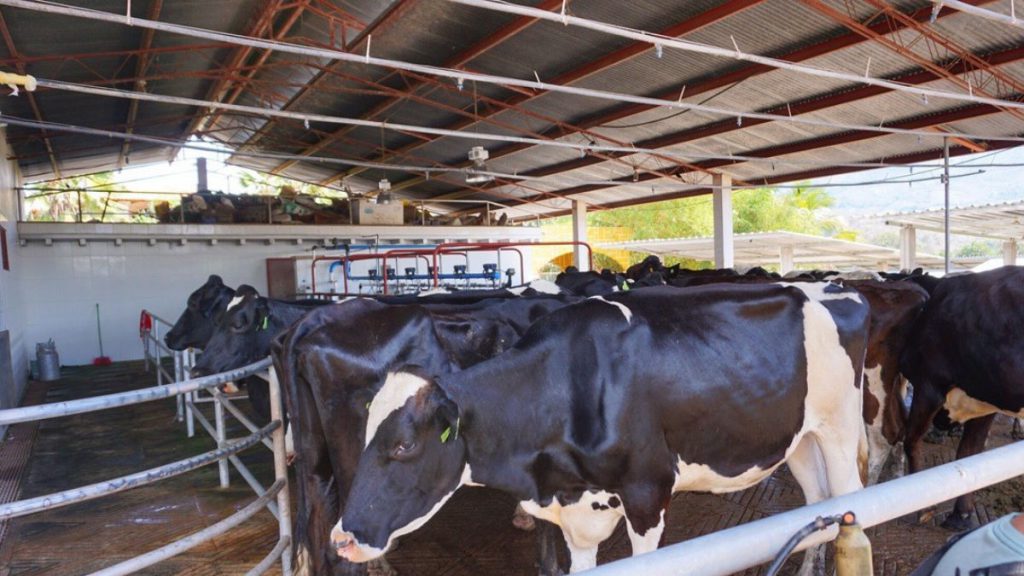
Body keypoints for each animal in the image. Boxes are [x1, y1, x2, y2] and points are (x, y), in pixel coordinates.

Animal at [331, 284, 868, 569]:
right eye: (364, 436)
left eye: (403, 446)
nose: (341, 539)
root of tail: (831, 287)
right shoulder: (576, 516)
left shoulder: (648, 492)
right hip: (800, 438)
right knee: (818, 500)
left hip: (840, 427)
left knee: (850, 498)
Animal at [901, 266, 1019, 528]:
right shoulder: (985, 399)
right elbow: (968, 453)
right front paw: (961, 514)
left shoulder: (929, 384)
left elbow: (911, 439)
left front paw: (924, 507)